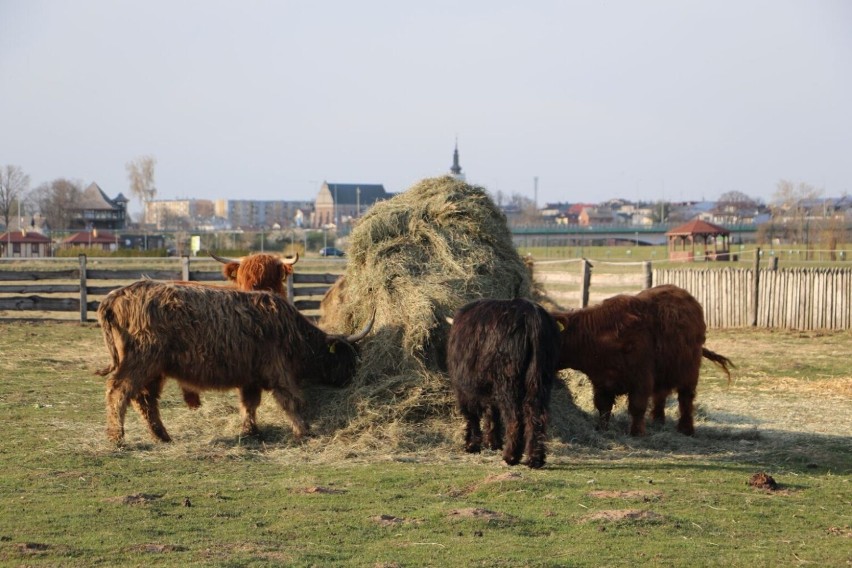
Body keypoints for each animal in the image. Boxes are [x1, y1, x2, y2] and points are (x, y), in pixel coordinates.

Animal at [95, 280, 372, 444]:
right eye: (349, 357)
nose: (356, 377)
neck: (296, 336)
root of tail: (116, 295)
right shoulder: (278, 371)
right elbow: (290, 400)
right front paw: (303, 430)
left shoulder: (251, 376)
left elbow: (249, 403)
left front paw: (250, 431)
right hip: (141, 360)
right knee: (118, 391)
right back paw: (116, 437)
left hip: (155, 369)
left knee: (146, 400)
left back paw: (162, 436)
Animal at [446, 298, 560, 466]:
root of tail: (531, 316)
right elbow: (491, 412)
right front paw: (492, 443)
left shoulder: (465, 387)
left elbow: (472, 415)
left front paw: (472, 445)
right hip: (540, 380)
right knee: (536, 414)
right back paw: (535, 458)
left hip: (508, 382)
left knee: (514, 418)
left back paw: (510, 456)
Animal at [552, 286, 732, 438]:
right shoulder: (601, 382)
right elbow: (603, 407)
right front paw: (602, 429)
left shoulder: (641, 378)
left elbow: (637, 407)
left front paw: (637, 432)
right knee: (661, 396)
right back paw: (658, 421)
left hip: (689, 371)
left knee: (686, 399)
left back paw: (686, 429)